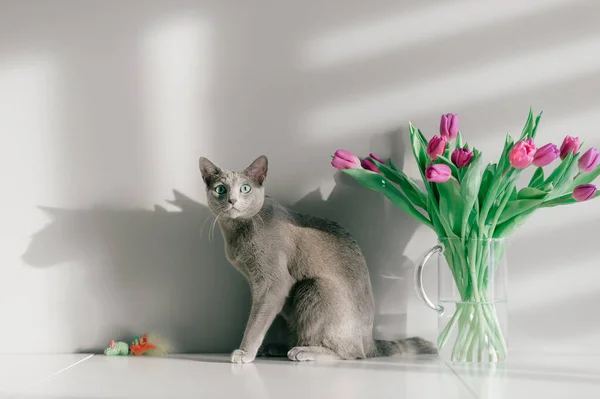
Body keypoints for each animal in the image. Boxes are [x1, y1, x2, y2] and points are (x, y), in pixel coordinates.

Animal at [199, 155, 434, 362]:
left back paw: (302, 351)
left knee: (351, 353)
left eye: (245, 188)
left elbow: (256, 322)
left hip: (314, 287)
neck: (238, 231)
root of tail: (370, 342)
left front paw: (244, 353)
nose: (232, 200)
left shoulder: (272, 283)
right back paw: (278, 347)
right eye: (220, 189)